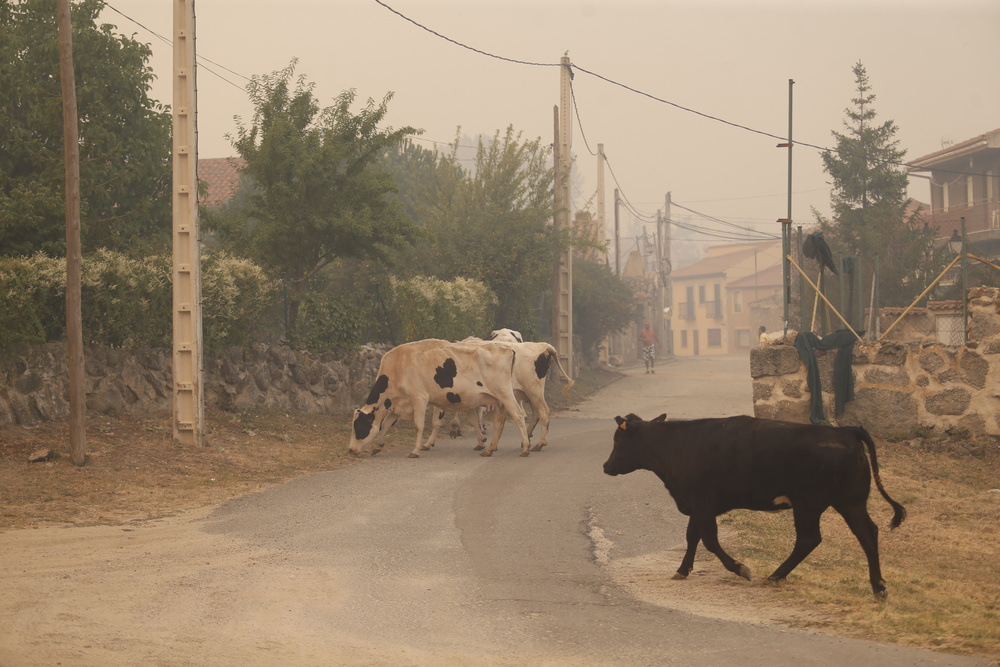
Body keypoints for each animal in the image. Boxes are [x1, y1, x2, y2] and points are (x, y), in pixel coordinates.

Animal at [348, 340, 532, 460]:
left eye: (359, 427)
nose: (350, 450)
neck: (398, 366)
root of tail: (507, 348)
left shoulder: (419, 398)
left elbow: (419, 425)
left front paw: (415, 451)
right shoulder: (400, 403)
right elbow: (385, 424)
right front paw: (377, 446)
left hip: (505, 393)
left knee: (518, 415)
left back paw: (526, 447)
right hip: (498, 399)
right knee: (499, 422)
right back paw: (490, 449)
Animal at [600, 414, 908, 596]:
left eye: (618, 439)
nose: (606, 466)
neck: (676, 445)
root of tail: (846, 431)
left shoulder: (702, 503)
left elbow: (709, 540)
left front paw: (740, 568)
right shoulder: (697, 506)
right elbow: (692, 537)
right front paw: (682, 570)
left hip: (809, 504)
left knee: (809, 539)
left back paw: (775, 576)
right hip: (850, 501)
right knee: (867, 533)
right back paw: (878, 586)